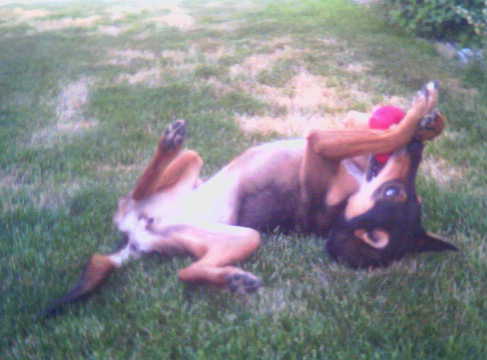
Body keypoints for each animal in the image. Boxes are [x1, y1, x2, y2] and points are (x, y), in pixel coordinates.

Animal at [43, 81, 458, 316]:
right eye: (406, 194)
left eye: (394, 193)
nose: (415, 152)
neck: (345, 208)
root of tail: (137, 239)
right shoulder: (344, 144)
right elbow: (376, 131)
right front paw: (427, 123)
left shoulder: (320, 143)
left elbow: (384, 134)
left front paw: (416, 118)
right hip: (197, 167)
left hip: (242, 235)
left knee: (179, 262)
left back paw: (232, 281)